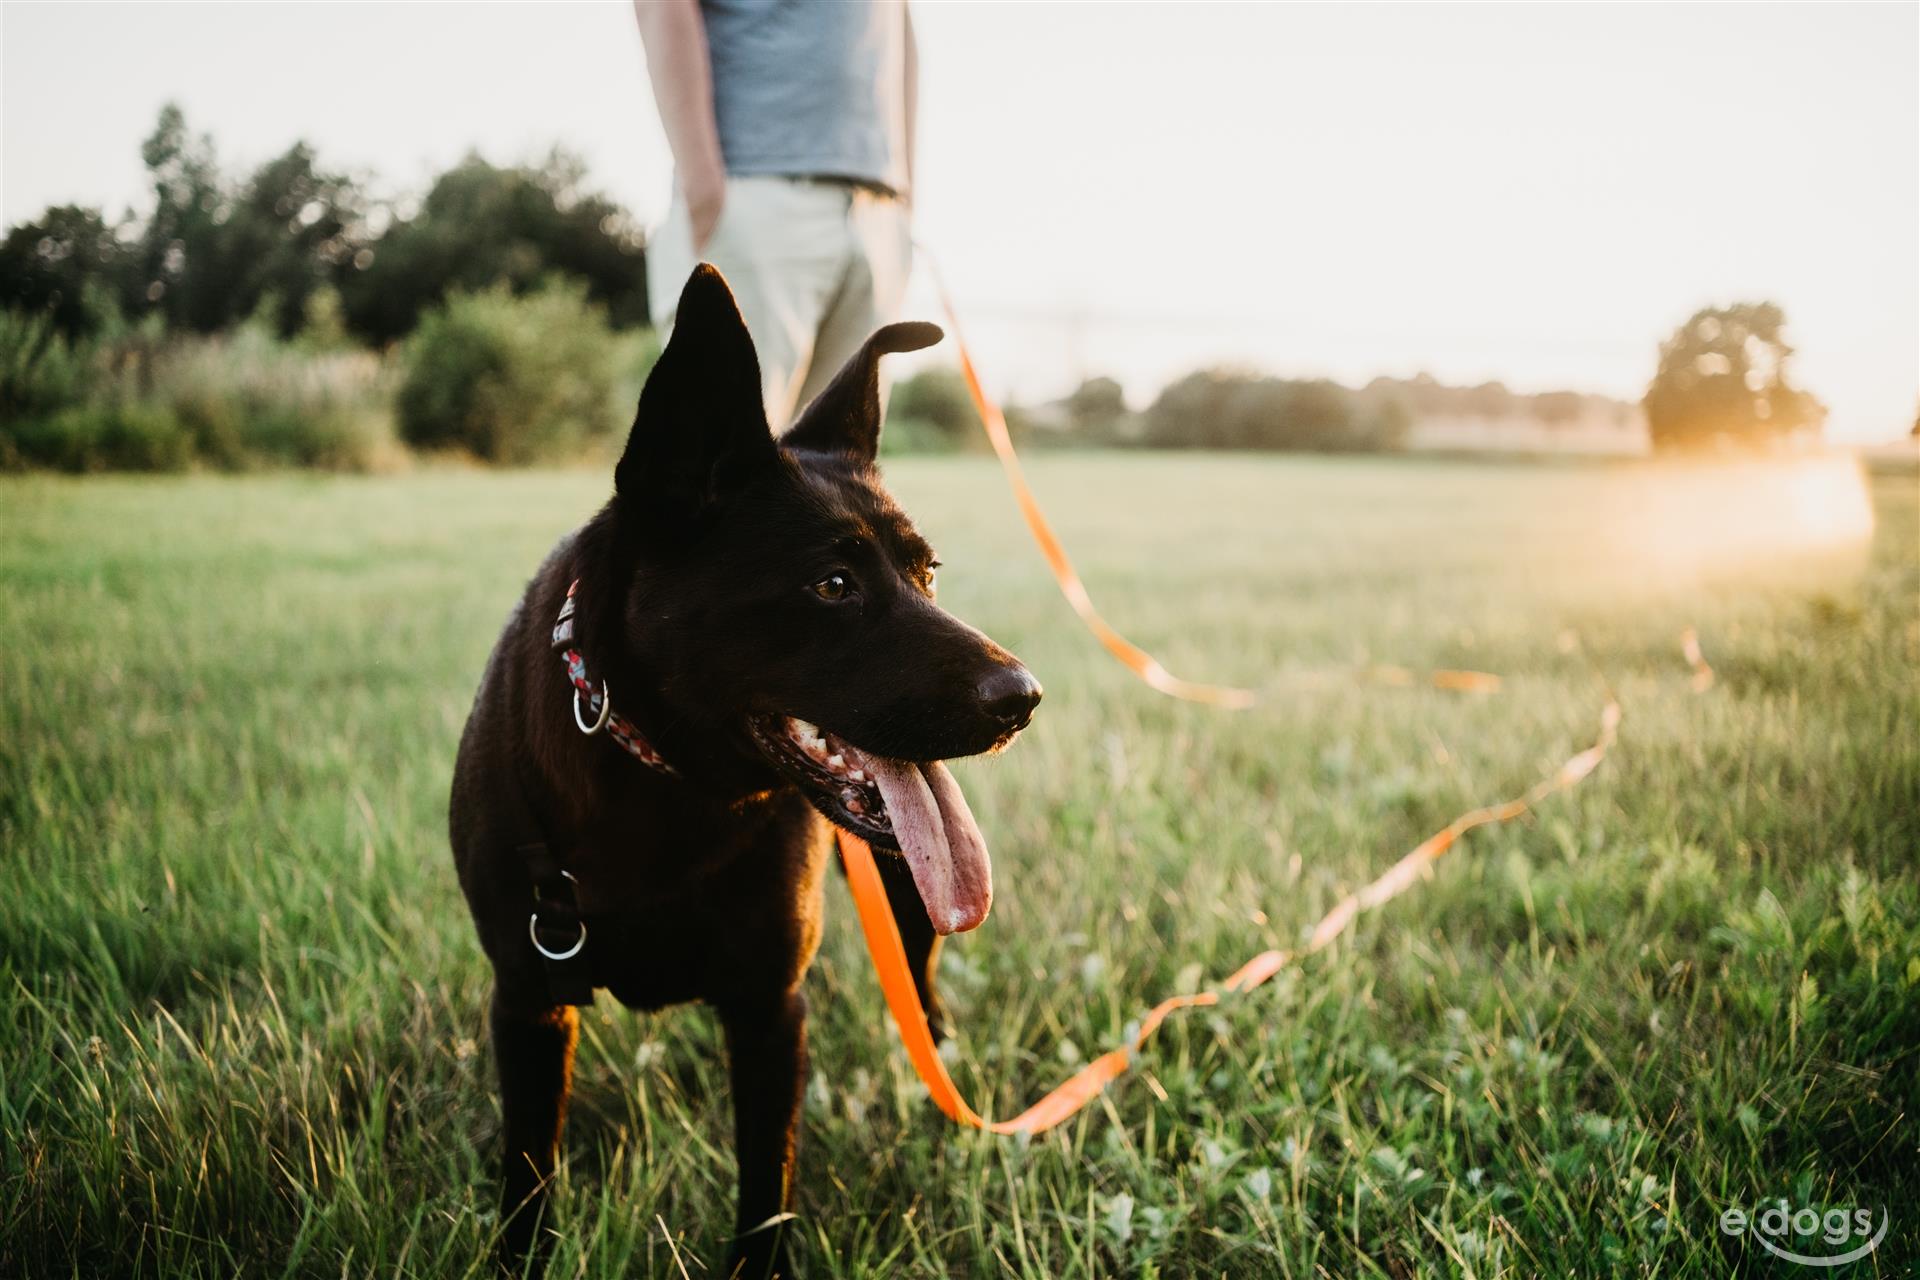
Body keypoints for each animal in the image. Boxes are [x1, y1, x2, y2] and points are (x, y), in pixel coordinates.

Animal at [447, 264, 1044, 1274]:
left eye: (926, 574)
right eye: (833, 585)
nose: (1023, 697)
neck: (665, 785)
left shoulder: (769, 1008)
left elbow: (769, 1178)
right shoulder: (528, 1002)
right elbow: (527, 1175)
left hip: (905, 886)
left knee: (919, 971)